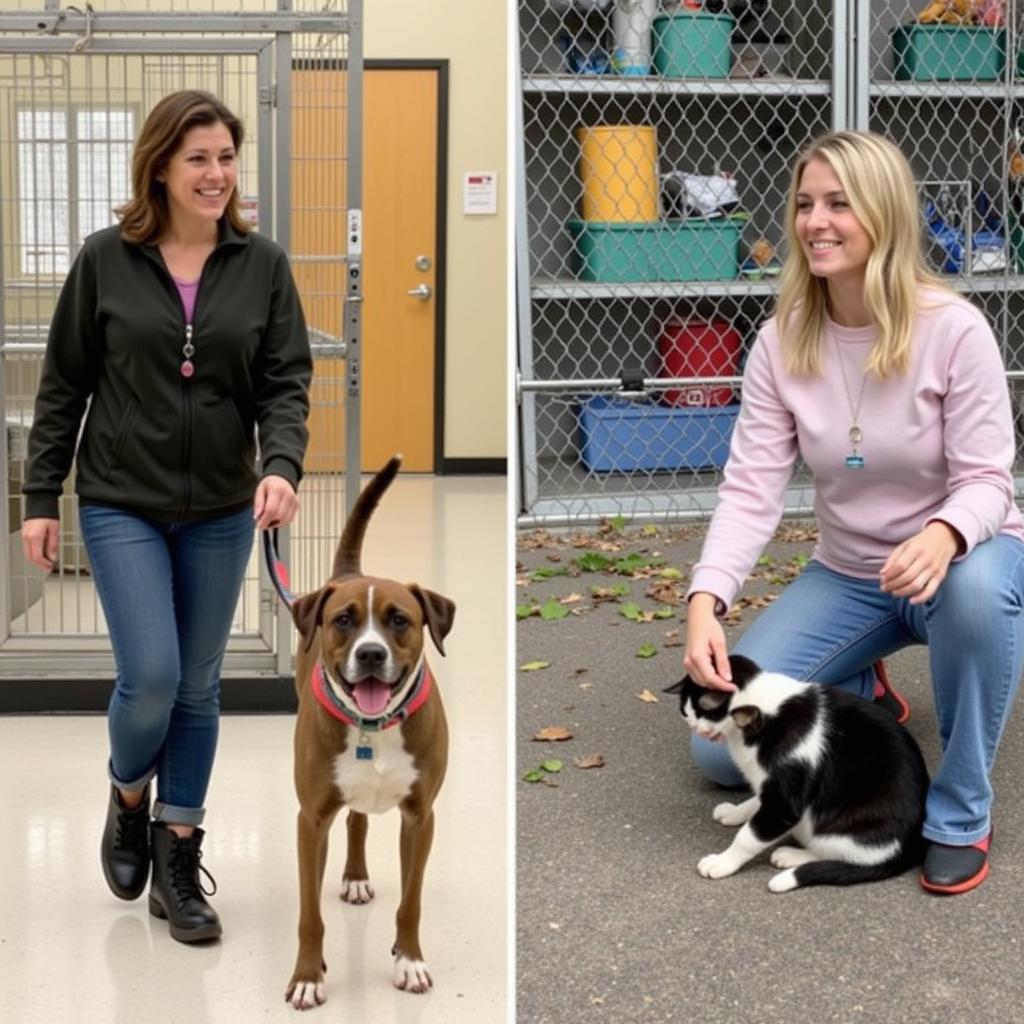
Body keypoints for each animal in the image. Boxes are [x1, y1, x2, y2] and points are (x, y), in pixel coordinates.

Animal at [282, 456, 454, 1007]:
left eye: (399, 620)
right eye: (343, 620)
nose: (372, 654)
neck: (372, 727)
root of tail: (349, 572)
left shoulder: (421, 818)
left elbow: (411, 903)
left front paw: (409, 960)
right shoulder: (310, 820)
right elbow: (308, 915)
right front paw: (308, 976)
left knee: (358, 821)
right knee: (353, 821)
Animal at [663, 655, 929, 888]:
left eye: (701, 713)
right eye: (686, 714)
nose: (695, 727)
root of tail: (912, 847)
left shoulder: (784, 801)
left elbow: (749, 835)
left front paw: (722, 862)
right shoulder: (770, 783)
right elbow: (756, 801)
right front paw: (735, 812)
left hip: (848, 829)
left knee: (848, 855)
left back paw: (792, 856)